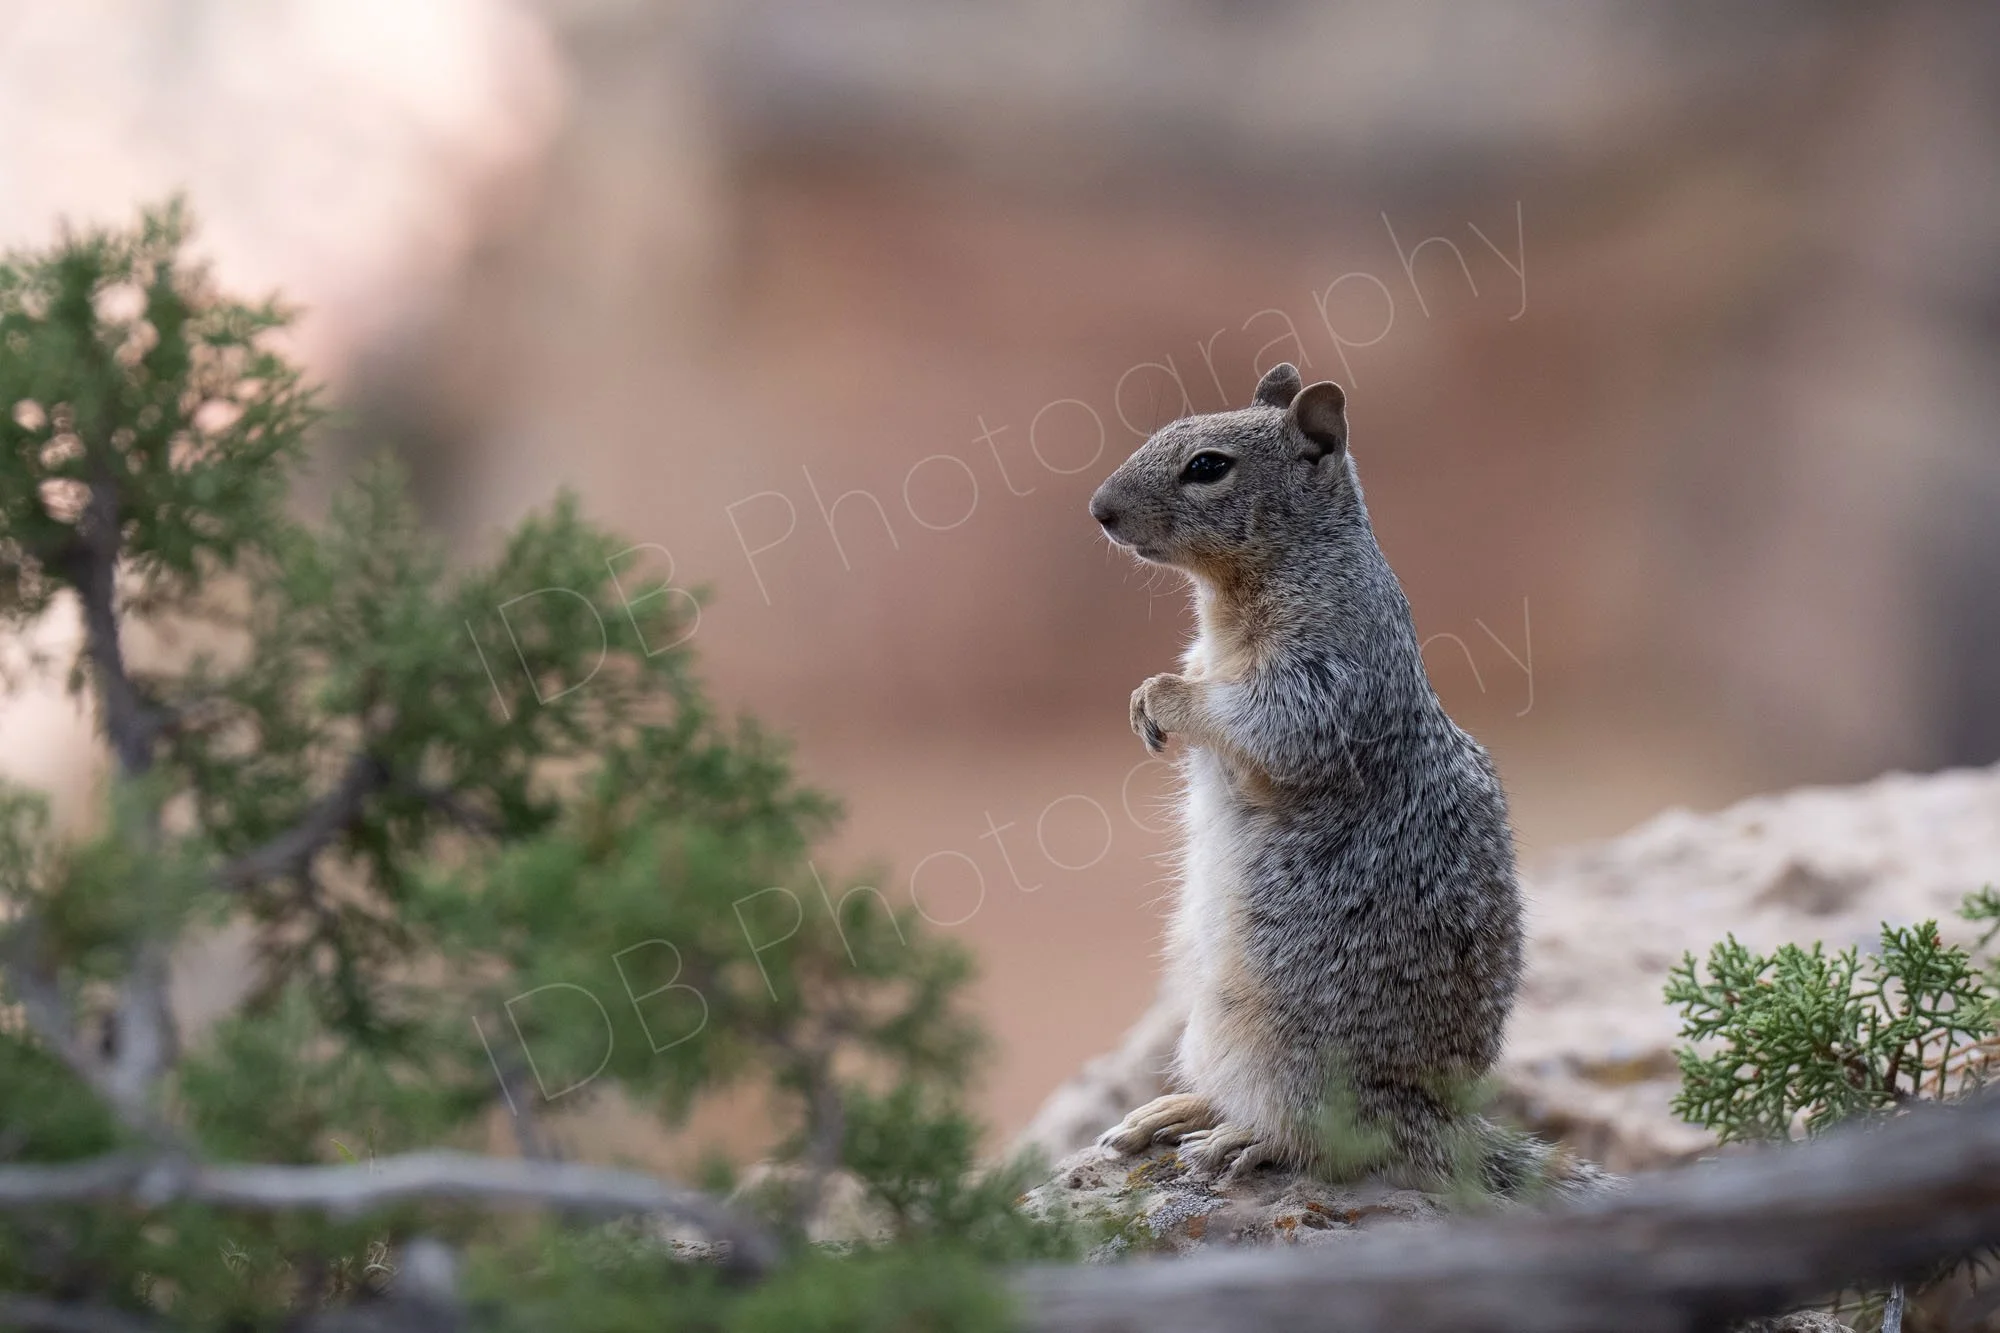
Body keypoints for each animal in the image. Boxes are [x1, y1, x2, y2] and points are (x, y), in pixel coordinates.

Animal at [1087, 362, 1593, 1196]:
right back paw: (1176, 1109)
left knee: (1332, 1142)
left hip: (1265, 1039)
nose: (1099, 510)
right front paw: (1144, 696)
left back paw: (1248, 1139)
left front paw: (1165, 697)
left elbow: (1262, 719)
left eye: (1208, 467)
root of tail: (1435, 1123)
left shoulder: (1326, 678)